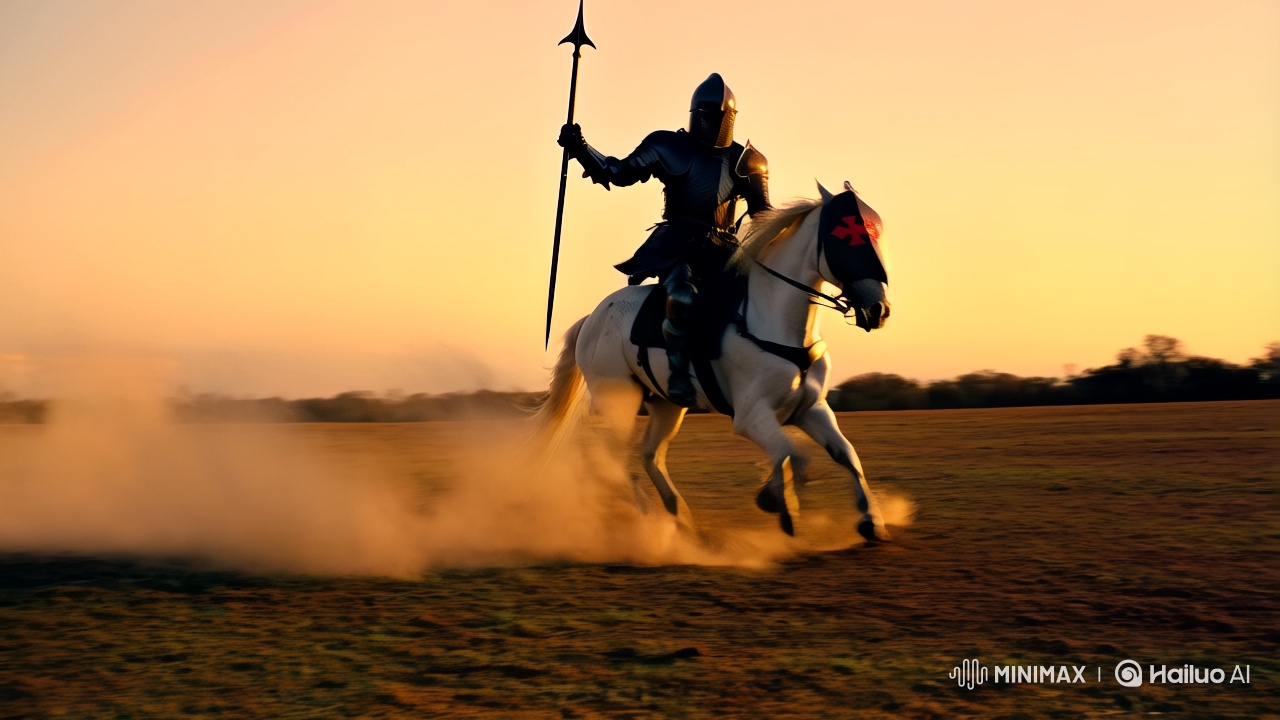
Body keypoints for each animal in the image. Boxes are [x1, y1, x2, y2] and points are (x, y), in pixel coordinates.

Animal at [534, 181, 892, 542]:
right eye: (846, 239)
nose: (879, 309)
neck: (774, 322)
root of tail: (591, 320)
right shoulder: (750, 417)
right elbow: (794, 454)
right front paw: (777, 501)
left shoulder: (812, 408)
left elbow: (844, 455)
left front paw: (871, 520)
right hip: (618, 400)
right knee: (612, 459)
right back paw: (639, 517)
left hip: (667, 405)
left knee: (649, 454)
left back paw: (678, 515)